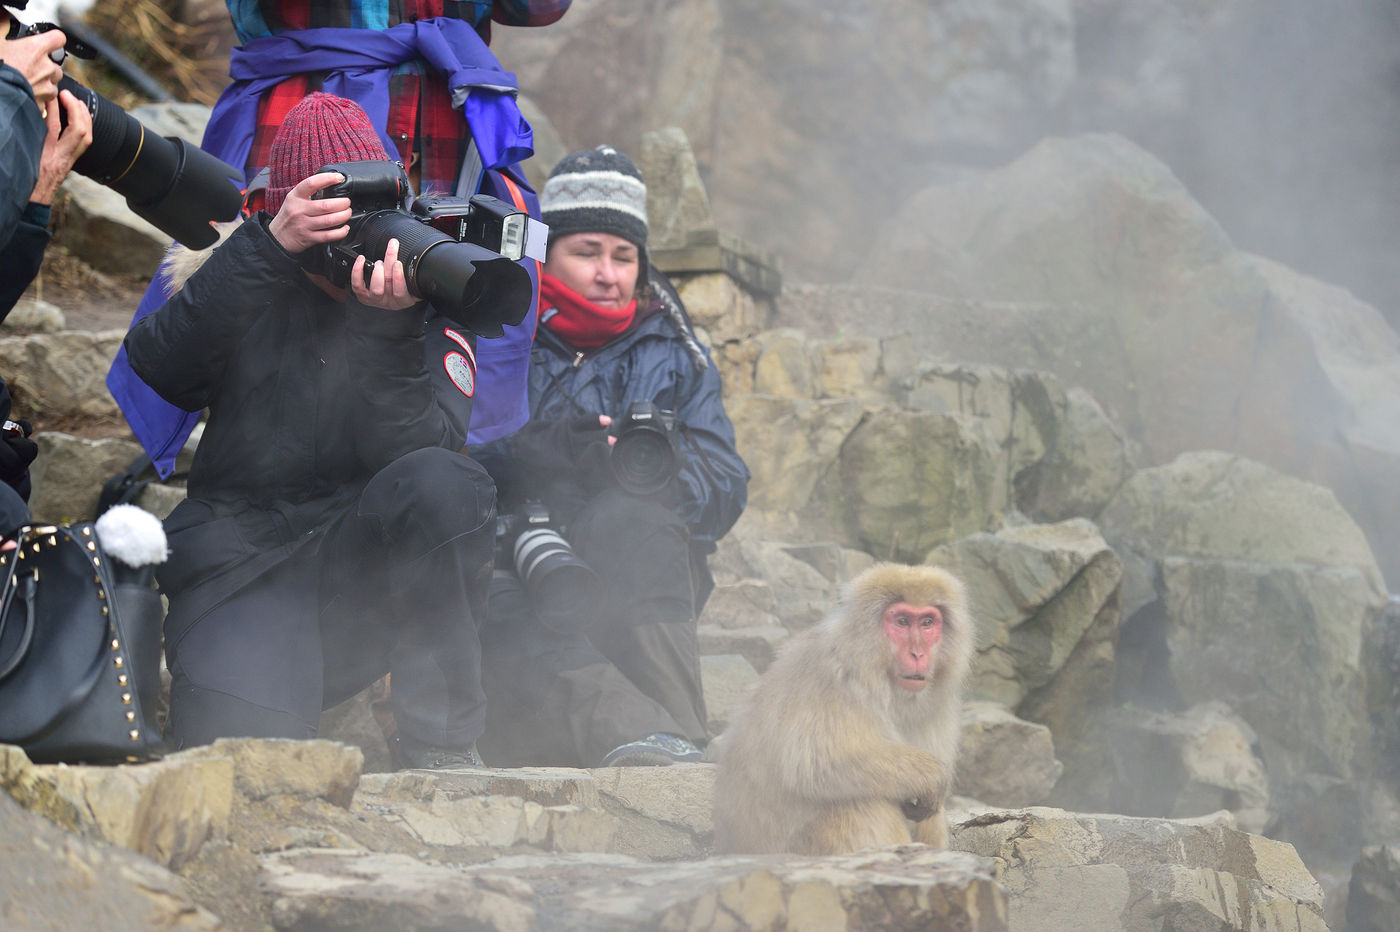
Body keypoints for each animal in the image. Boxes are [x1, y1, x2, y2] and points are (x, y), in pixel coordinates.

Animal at [711, 562, 974, 850]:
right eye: (902, 621)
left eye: (927, 623)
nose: (918, 653)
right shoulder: (831, 681)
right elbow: (815, 761)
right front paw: (930, 776)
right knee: (858, 802)